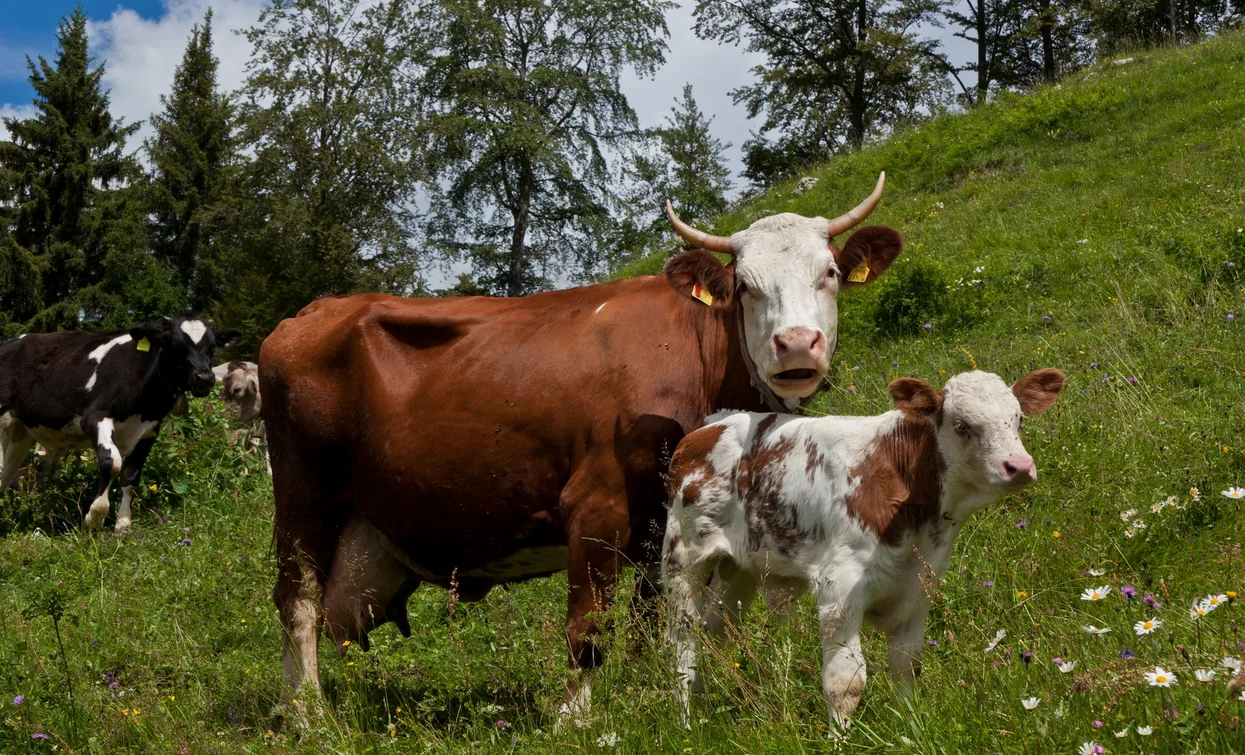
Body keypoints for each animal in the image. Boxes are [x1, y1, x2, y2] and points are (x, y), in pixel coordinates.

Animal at [0, 317, 240, 533]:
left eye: (211, 348)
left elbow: (131, 475)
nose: (204, 377)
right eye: (175, 346)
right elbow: (111, 463)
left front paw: (123, 525)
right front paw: (94, 518)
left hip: (21, 432)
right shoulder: (95, 417)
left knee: (5, 473)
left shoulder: (149, 430)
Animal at [260, 173, 906, 722]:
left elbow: (648, 619)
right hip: (302, 497)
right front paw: (576, 719)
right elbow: (590, 625)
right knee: (296, 600)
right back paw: (308, 714)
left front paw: (643, 693)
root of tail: (313, 310)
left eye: (829, 272)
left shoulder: (659, 521)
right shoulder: (599, 504)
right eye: (744, 286)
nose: (796, 344)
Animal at [667, 368, 1065, 732]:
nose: (1019, 466)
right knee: (683, 644)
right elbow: (846, 683)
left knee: (714, 631)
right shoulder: (839, 589)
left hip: (740, 571)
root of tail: (711, 425)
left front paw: (912, 732)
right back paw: (686, 726)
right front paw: (838, 741)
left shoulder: (918, 589)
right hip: (683, 560)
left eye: (1018, 419)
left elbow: (906, 668)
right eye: (962, 425)